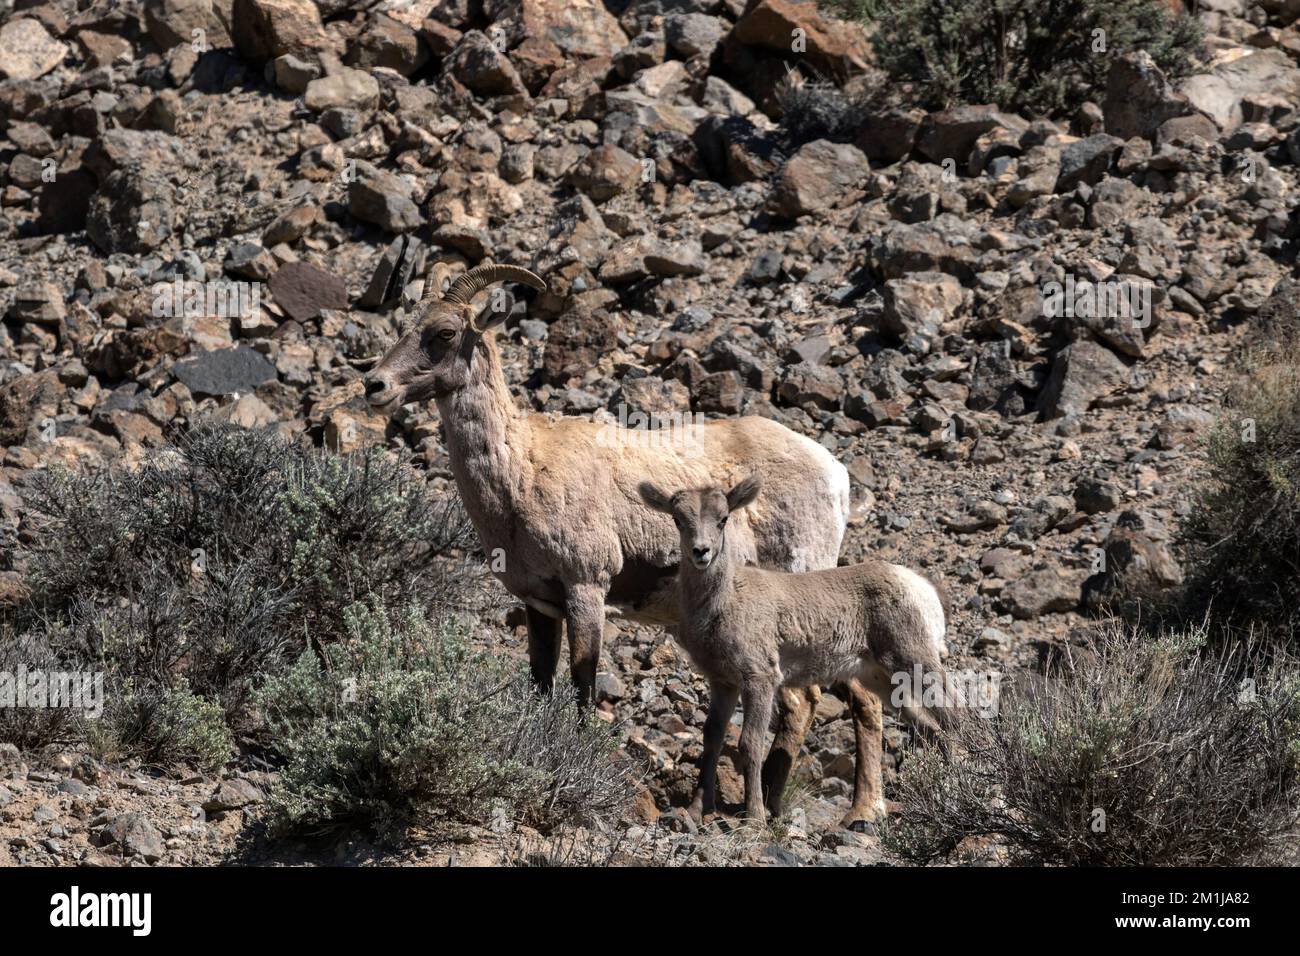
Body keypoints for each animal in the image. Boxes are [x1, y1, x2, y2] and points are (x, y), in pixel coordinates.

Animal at [364, 264, 852, 822]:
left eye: (445, 332)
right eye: (404, 323)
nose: (374, 385)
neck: (522, 472)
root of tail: (834, 474)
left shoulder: (586, 588)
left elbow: (581, 685)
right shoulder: (540, 603)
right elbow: (541, 683)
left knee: (801, 701)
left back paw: (766, 806)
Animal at [642, 476, 956, 827]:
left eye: (723, 519)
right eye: (678, 520)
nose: (701, 552)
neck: (722, 603)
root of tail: (923, 589)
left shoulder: (760, 679)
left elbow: (750, 744)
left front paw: (755, 819)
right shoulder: (723, 682)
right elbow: (711, 739)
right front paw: (697, 811)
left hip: (916, 662)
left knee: (956, 719)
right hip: (884, 682)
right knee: (933, 730)